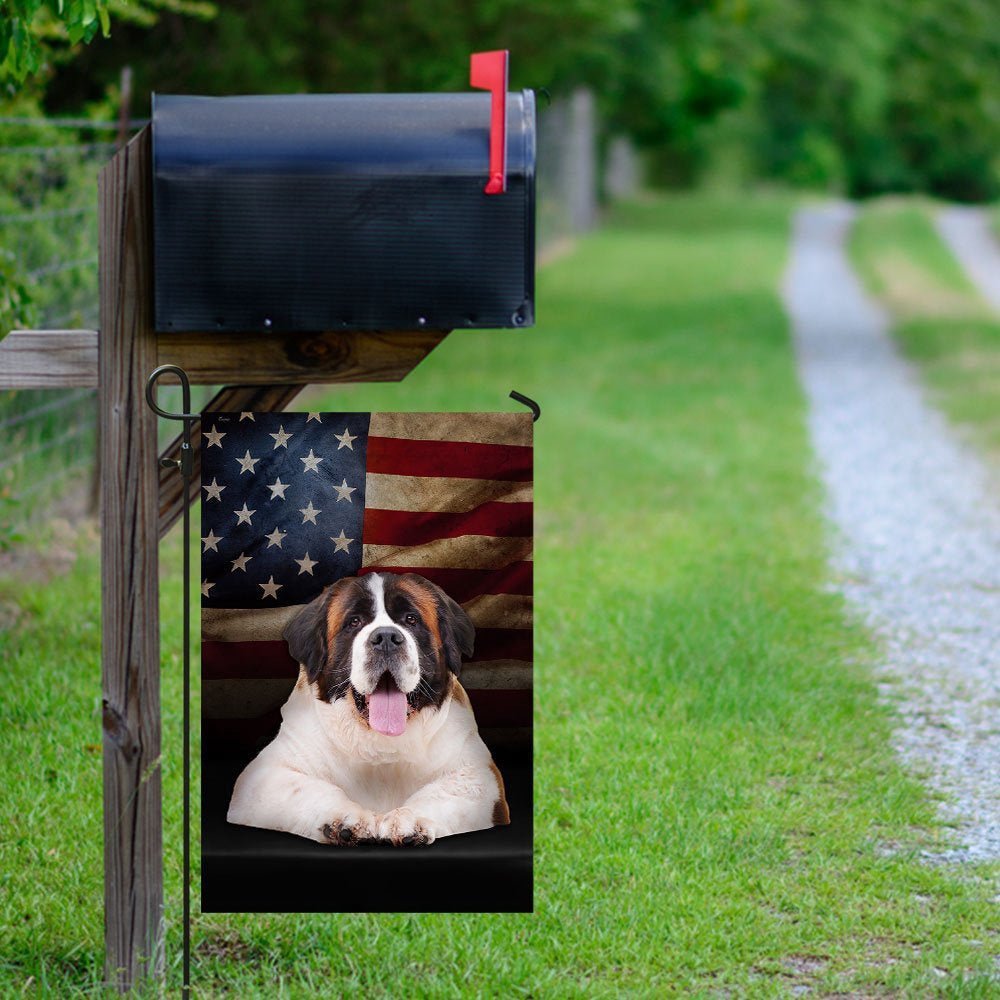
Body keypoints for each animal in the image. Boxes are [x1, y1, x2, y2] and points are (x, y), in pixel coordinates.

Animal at [227, 572, 508, 844]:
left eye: (411, 619)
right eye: (354, 622)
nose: (386, 637)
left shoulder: (481, 775)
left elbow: (444, 791)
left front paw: (409, 819)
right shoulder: (261, 777)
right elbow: (304, 787)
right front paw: (345, 818)